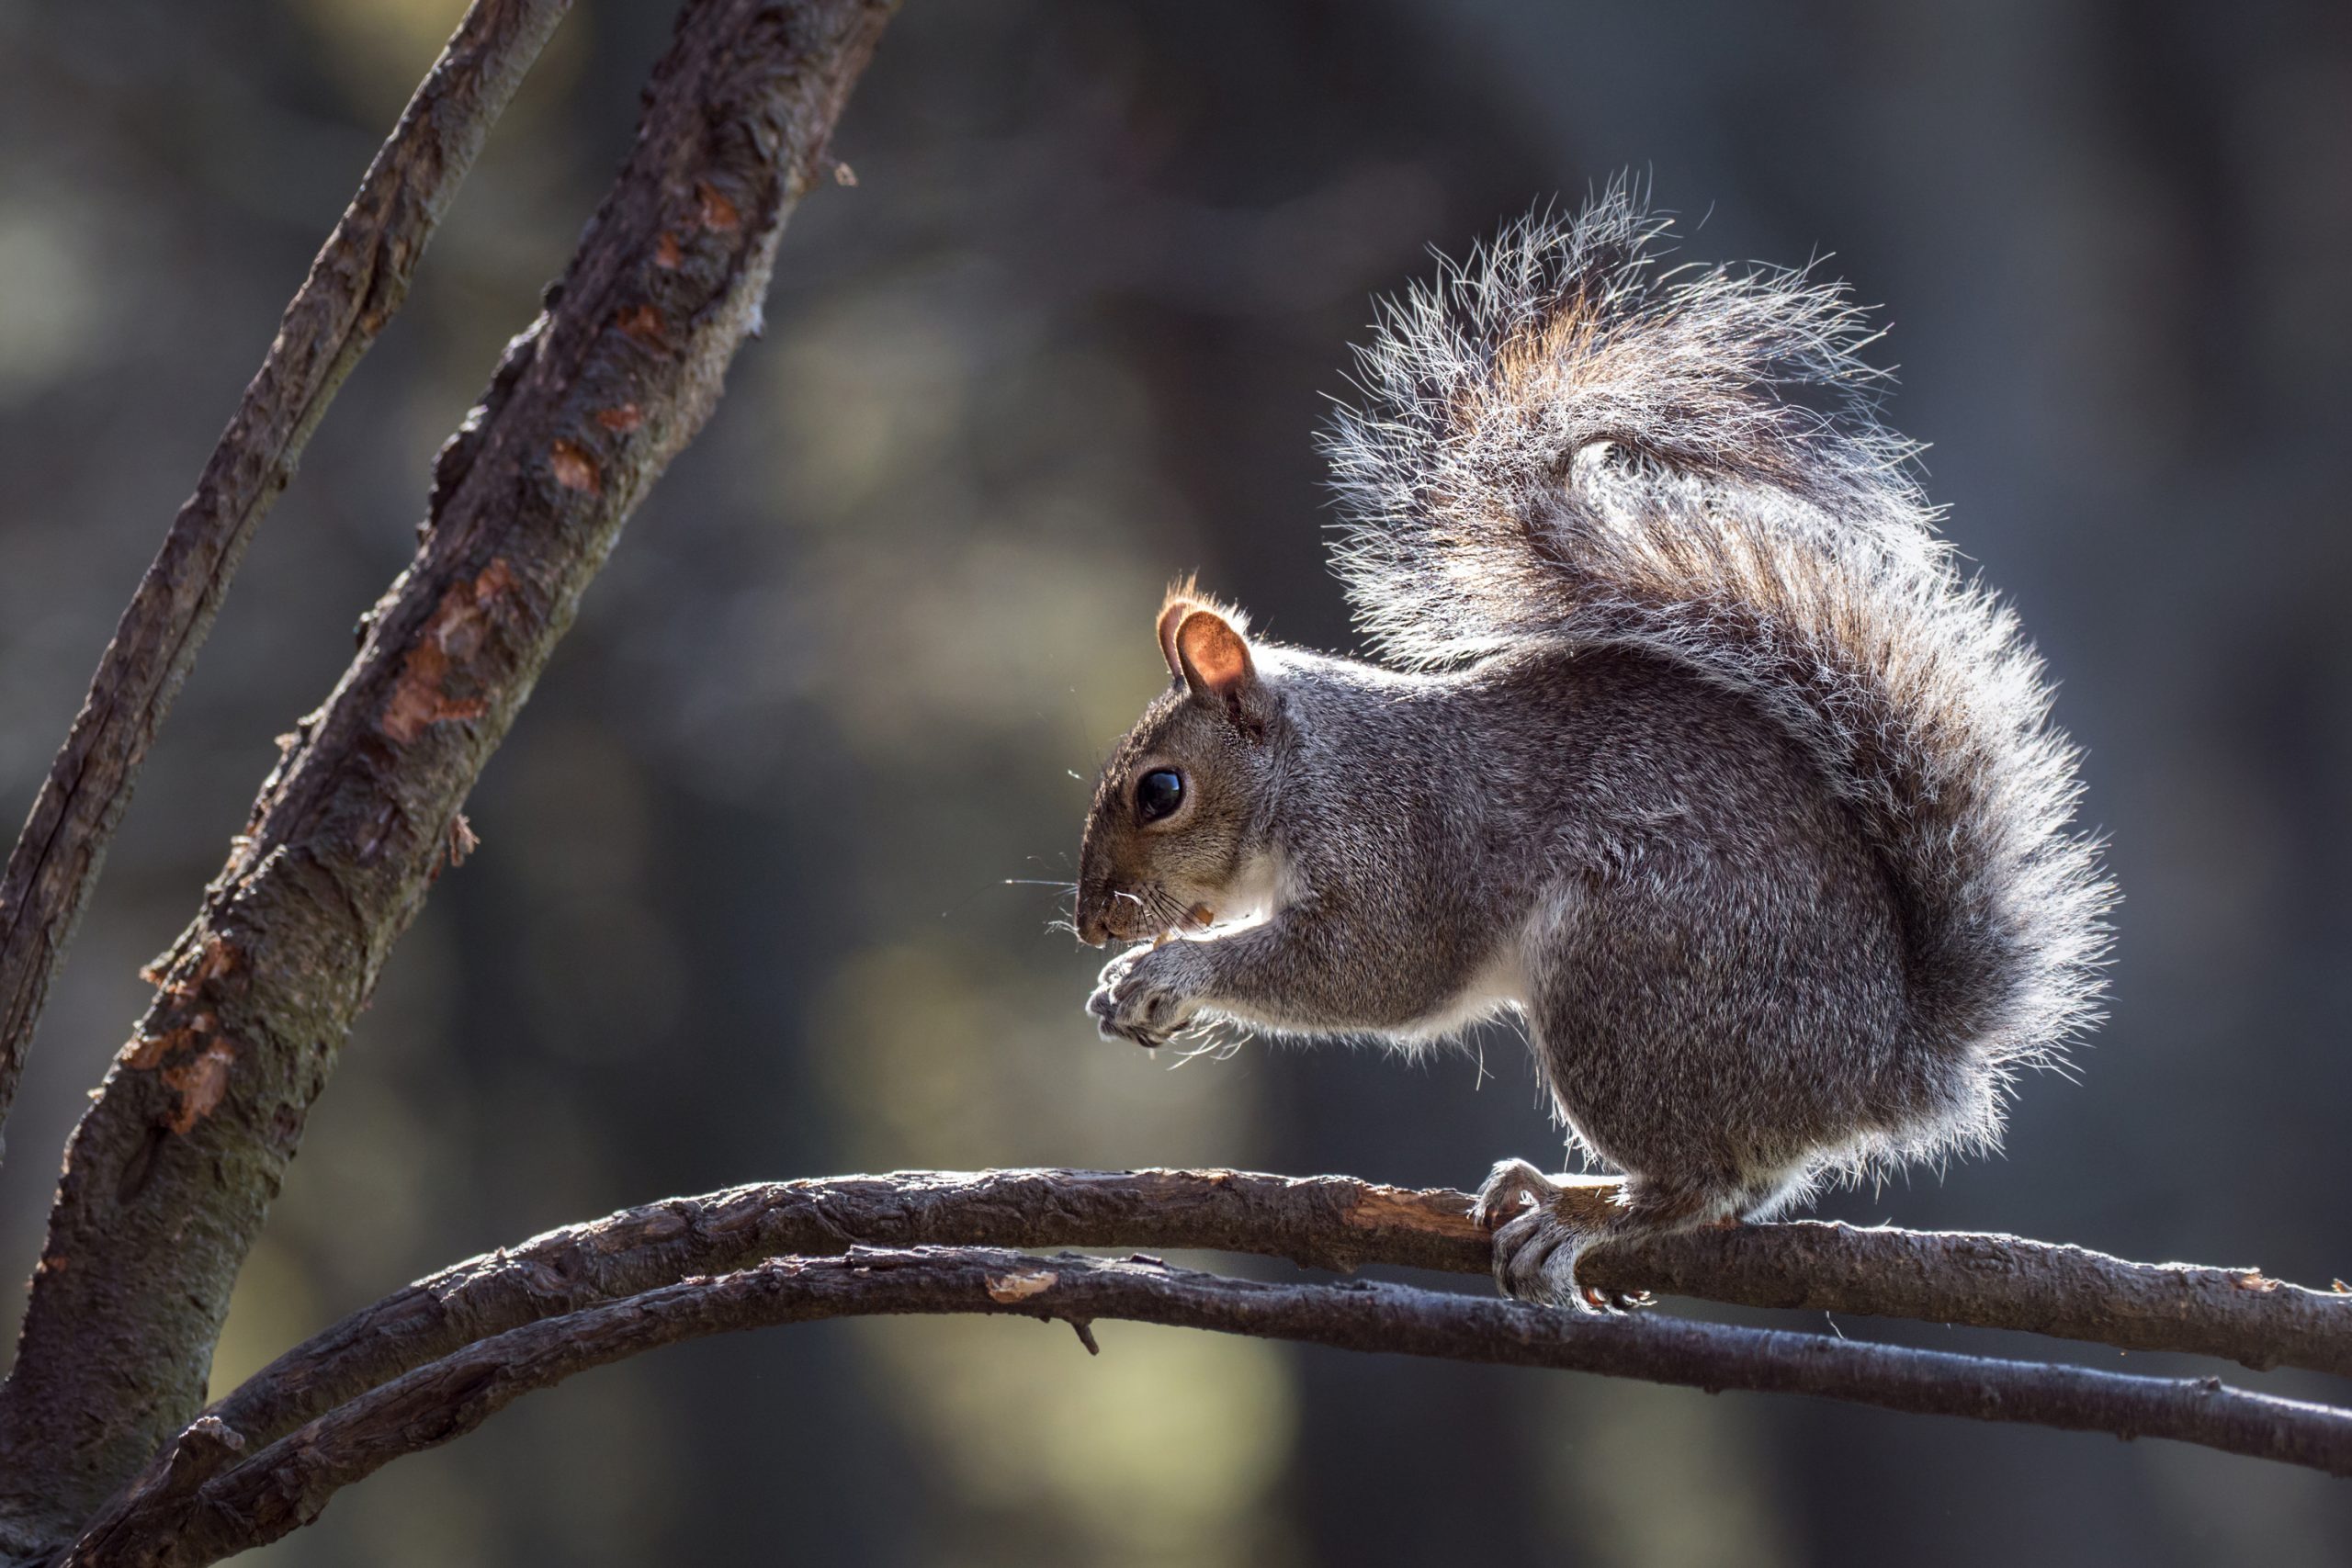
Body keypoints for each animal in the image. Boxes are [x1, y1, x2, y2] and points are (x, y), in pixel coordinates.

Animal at [1068, 192, 2117, 1316]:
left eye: (1161, 790)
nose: (1091, 924)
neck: (1316, 765)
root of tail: (1892, 1062)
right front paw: (1125, 978)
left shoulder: (1398, 848)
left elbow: (1373, 970)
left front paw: (1164, 969)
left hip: (1625, 980)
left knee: (1702, 1183)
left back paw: (1582, 1213)